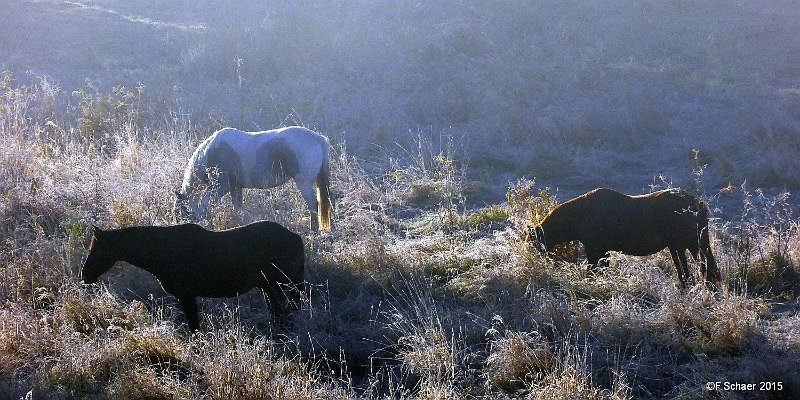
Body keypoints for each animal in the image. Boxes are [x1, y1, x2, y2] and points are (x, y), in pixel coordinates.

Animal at [81, 220, 304, 330]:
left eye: (97, 250)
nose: (84, 276)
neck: (163, 250)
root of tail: (295, 237)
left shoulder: (186, 296)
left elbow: (194, 327)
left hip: (278, 288)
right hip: (270, 288)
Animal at [175, 125, 334, 231]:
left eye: (180, 208)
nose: (176, 223)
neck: (210, 152)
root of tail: (318, 138)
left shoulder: (221, 187)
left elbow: (205, 202)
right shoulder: (235, 188)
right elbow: (237, 207)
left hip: (304, 183)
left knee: (313, 205)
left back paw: (313, 230)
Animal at [528, 188, 720, 288]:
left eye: (535, 244)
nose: (540, 263)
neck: (582, 215)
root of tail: (696, 204)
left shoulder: (593, 250)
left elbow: (591, 271)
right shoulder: (603, 251)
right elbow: (601, 271)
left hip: (685, 245)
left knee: (697, 270)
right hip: (686, 246)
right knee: (701, 269)